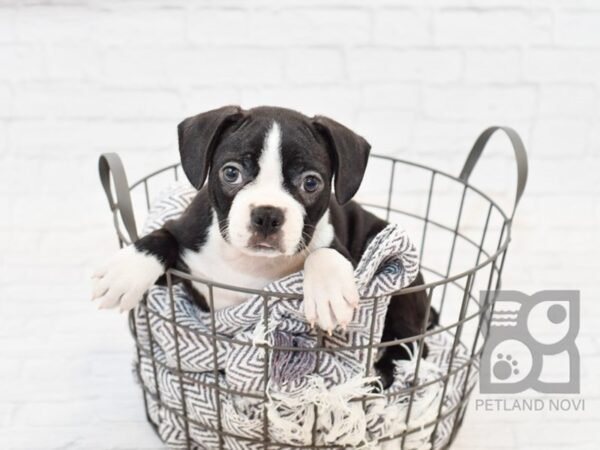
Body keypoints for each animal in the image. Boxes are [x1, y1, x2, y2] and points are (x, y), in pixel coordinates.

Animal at [94, 105, 438, 386]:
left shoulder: (343, 250)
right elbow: (163, 235)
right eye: (231, 172)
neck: (250, 263)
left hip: (405, 297)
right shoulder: (185, 254)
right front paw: (126, 271)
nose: (267, 215)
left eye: (310, 182)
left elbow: (323, 252)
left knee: (406, 352)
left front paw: (328, 294)